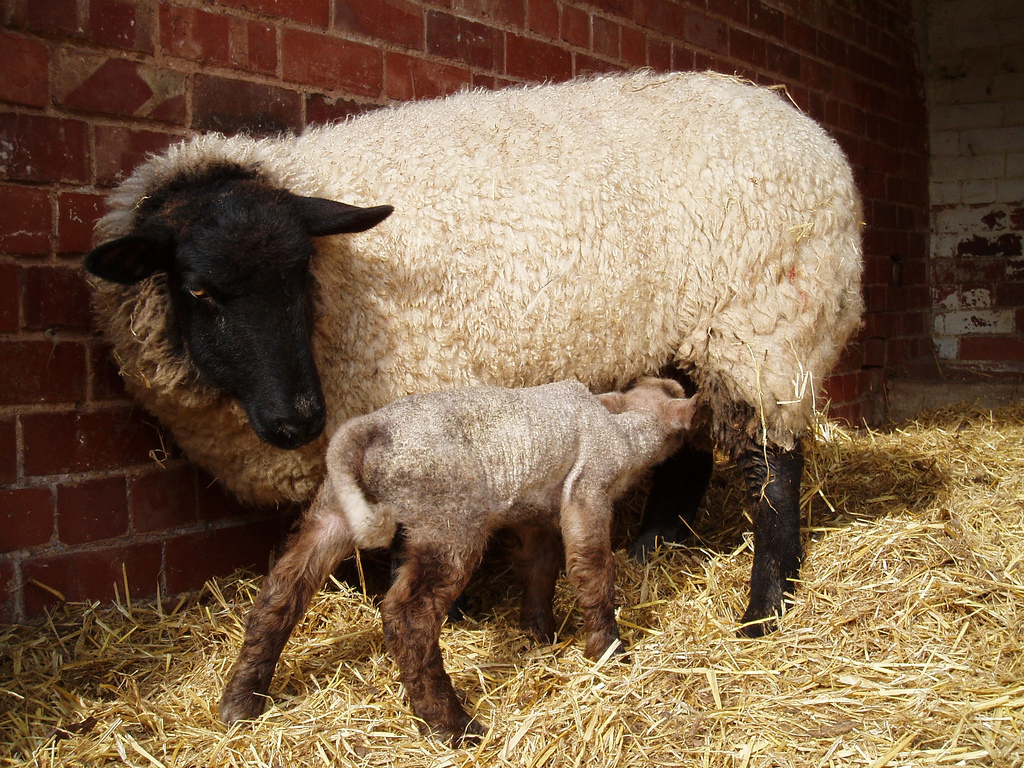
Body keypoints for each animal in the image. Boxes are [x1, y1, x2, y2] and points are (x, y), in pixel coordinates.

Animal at [85, 70, 864, 635]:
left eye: (301, 272)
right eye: (199, 290)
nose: (298, 419)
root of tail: (808, 128)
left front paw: (444, 609)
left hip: (764, 325)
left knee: (775, 465)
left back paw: (764, 608)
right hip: (690, 332)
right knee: (692, 438)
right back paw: (653, 549)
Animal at [218, 377, 698, 742]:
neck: (620, 423)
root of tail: (370, 428)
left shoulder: (535, 515)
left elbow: (539, 569)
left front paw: (539, 633)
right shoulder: (588, 490)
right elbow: (592, 568)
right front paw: (608, 648)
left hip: (333, 512)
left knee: (281, 592)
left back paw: (241, 702)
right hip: (449, 523)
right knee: (407, 617)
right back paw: (452, 726)